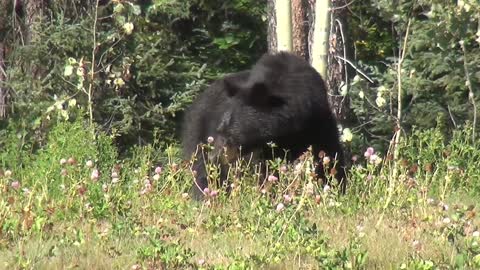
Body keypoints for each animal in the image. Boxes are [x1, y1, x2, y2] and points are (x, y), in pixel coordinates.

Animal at [183, 51, 344, 198]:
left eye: (232, 134)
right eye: (220, 130)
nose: (214, 156)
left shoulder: (318, 121)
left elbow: (328, 153)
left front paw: (335, 188)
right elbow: (263, 170)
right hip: (199, 132)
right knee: (202, 171)